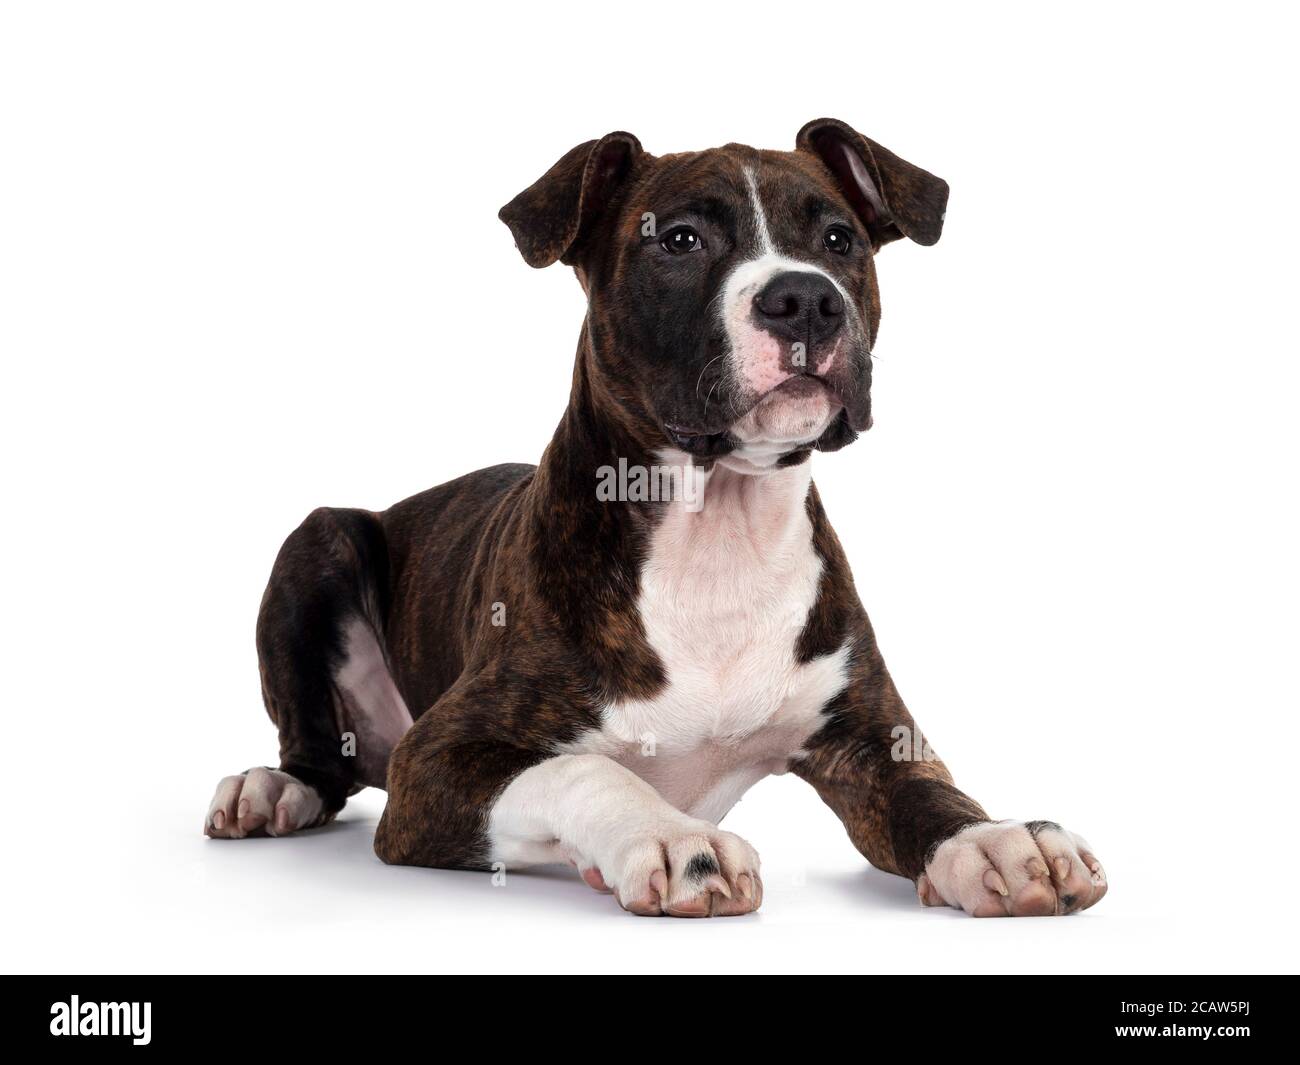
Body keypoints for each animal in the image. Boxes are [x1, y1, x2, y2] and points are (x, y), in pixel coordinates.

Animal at [205, 118, 1107, 915]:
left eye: (840, 239)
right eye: (678, 240)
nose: (805, 299)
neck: (720, 531)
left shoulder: (870, 736)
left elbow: (928, 792)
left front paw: (995, 840)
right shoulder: (437, 761)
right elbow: (585, 769)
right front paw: (674, 840)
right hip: (316, 543)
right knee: (317, 754)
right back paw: (271, 789)